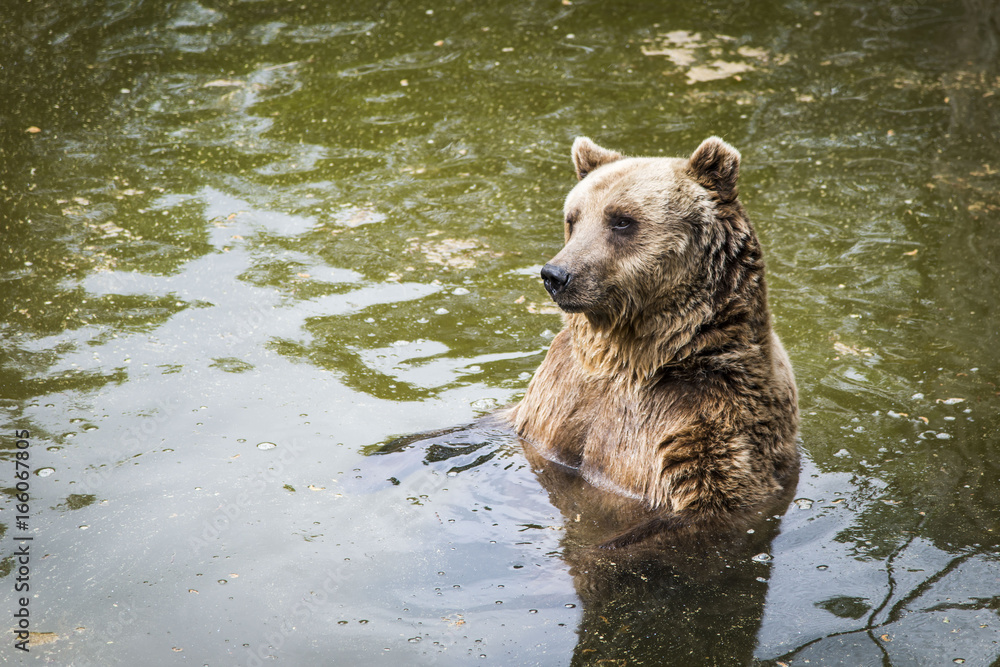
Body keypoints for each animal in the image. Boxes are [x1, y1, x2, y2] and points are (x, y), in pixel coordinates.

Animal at [504, 136, 799, 547]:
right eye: (572, 219)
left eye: (621, 220)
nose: (556, 275)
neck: (629, 360)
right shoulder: (557, 393)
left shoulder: (702, 417)